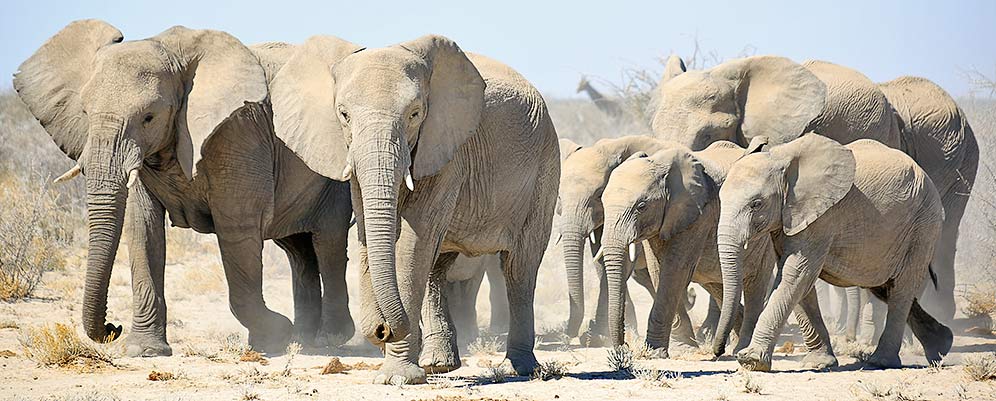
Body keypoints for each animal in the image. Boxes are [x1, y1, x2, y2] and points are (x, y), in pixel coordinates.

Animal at [13, 20, 354, 355]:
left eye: (149, 117)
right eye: (84, 113)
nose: (113, 327)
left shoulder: (238, 131)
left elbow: (237, 228)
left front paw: (275, 334)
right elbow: (142, 227)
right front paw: (145, 351)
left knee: (327, 240)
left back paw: (329, 338)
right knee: (298, 249)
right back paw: (304, 338)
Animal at [268, 34, 560, 384]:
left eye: (415, 114)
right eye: (343, 114)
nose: (382, 330)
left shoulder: (447, 149)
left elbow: (411, 243)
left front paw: (397, 378)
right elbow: (373, 231)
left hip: (545, 169)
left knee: (519, 266)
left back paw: (519, 369)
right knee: (437, 265)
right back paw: (438, 365)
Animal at [556, 135, 703, 346]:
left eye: (598, 195)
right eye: (559, 197)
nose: (568, 334)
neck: (610, 147)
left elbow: (622, 262)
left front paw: (596, 337)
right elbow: (602, 262)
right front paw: (598, 335)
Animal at [596, 140, 835, 368]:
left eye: (641, 206)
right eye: (603, 204)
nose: (623, 347)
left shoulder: (699, 215)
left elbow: (674, 270)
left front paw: (656, 353)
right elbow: (659, 271)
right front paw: (680, 348)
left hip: (768, 237)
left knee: (754, 285)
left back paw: (740, 349)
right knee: (719, 285)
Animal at [717, 133, 950, 371]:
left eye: (756, 204)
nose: (719, 352)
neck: (781, 157)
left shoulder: (821, 217)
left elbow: (796, 274)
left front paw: (751, 361)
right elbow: (799, 281)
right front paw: (821, 362)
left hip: (923, 226)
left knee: (902, 289)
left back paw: (881, 362)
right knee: (885, 287)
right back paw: (941, 347)